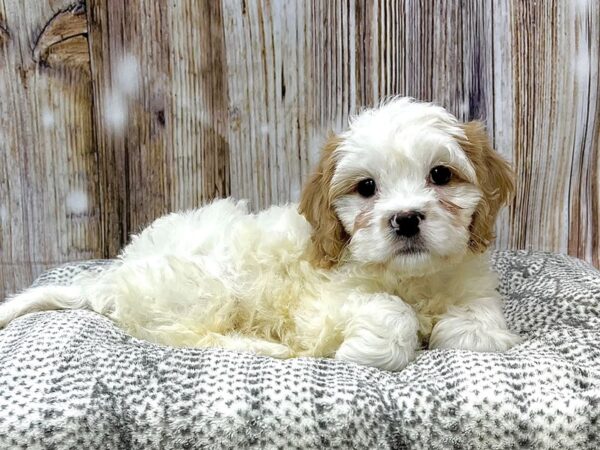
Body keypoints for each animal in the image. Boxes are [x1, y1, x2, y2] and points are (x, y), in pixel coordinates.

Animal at [0, 99, 520, 372]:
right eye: (367, 187)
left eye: (441, 175)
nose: (406, 218)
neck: (413, 278)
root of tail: (109, 278)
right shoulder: (322, 303)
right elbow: (389, 312)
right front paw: (372, 348)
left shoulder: (470, 285)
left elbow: (478, 330)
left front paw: (456, 327)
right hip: (205, 288)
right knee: (187, 337)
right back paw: (264, 347)